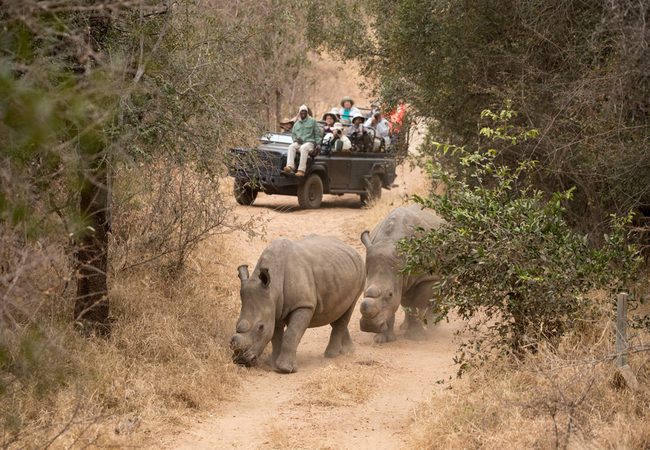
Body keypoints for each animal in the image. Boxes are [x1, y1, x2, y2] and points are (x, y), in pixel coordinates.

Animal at [229, 236, 364, 372]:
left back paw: (331, 355)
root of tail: (350, 248)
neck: (273, 289)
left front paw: (285, 369)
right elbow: (275, 336)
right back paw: (348, 351)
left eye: (260, 327)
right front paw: (273, 365)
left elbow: (291, 334)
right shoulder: (274, 308)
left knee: (348, 309)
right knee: (336, 311)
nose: (241, 360)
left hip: (360, 271)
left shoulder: (303, 305)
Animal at [356, 206, 442, 342]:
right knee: (406, 298)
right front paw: (382, 339)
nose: (369, 326)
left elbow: (417, 303)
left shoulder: (426, 277)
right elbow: (394, 306)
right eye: (364, 292)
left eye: (390, 294)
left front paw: (416, 338)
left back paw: (433, 328)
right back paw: (404, 327)